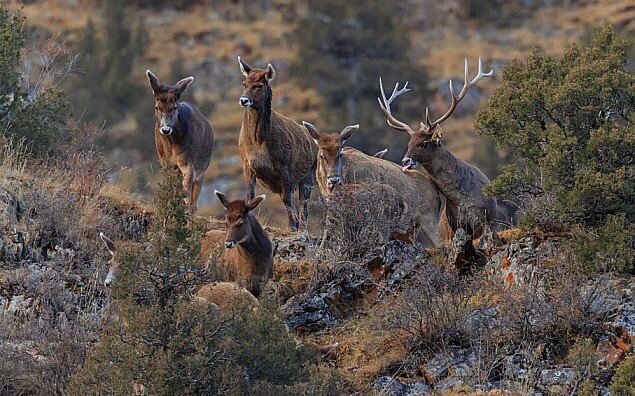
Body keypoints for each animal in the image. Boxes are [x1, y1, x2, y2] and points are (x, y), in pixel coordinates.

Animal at [145, 69, 215, 212]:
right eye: (157, 107)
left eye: (174, 107)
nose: (166, 129)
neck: (171, 146)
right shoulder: (164, 161)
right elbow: (171, 187)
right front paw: (169, 206)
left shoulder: (189, 162)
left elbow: (186, 190)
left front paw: (185, 209)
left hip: (202, 169)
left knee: (194, 200)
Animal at [237, 56, 320, 229]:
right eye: (244, 83)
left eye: (259, 85)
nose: (243, 100)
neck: (259, 142)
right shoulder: (247, 164)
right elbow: (250, 195)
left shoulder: (284, 165)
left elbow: (289, 199)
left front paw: (292, 226)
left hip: (309, 174)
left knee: (303, 203)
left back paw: (301, 225)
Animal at [380, 57, 500, 240]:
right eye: (409, 143)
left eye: (423, 143)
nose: (405, 160)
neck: (464, 200)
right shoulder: (455, 225)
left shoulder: (489, 220)